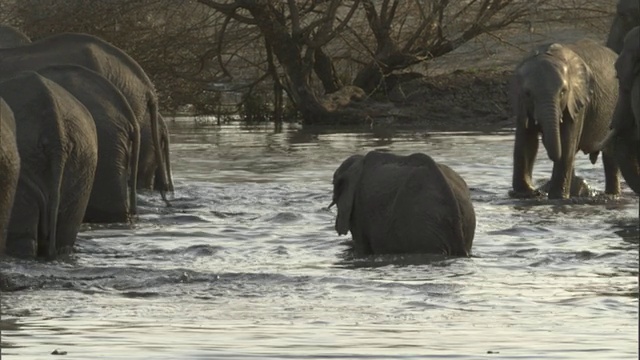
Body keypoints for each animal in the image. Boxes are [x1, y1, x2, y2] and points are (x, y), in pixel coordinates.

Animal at [510, 40, 620, 200]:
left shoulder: (577, 101)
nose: (539, 190)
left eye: (563, 92)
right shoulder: (520, 103)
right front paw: (526, 193)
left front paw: (557, 197)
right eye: (528, 93)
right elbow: (526, 141)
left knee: (610, 155)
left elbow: (567, 142)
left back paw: (612, 195)